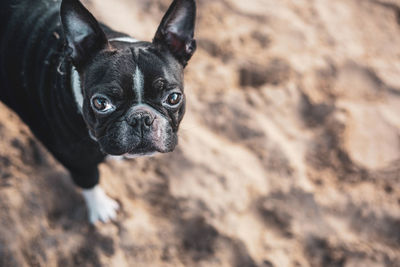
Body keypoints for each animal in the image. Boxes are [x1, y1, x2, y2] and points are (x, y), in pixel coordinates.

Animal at [0, 0, 197, 223]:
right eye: (101, 103)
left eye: (173, 98)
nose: (141, 118)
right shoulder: (74, 158)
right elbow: (89, 179)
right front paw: (101, 207)